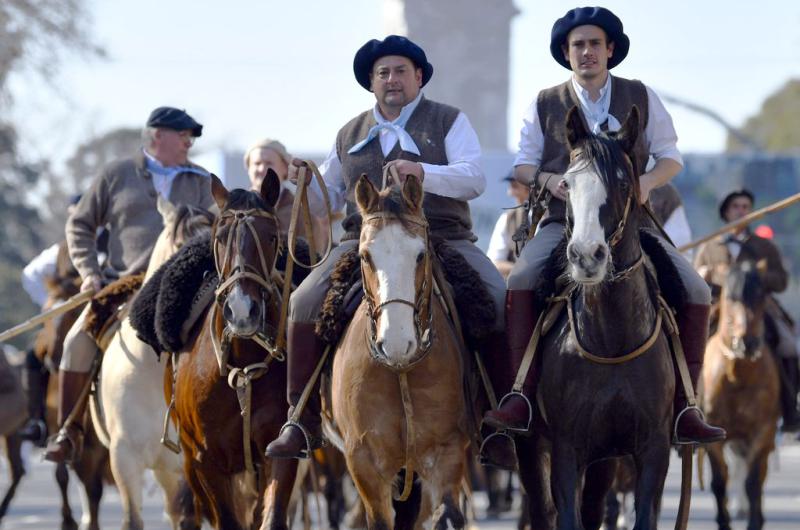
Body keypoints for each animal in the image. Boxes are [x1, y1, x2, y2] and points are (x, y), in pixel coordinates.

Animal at [330, 175, 472, 528]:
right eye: (365, 256)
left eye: (420, 254)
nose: (395, 343)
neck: (400, 372)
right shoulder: (364, 462)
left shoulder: (446, 453)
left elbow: (447, 514)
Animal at [516, 107, 680, 528]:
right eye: (567, 184)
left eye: (622, 182)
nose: (586, 256)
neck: (612, 341)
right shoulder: (566, 449)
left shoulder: (652, 450)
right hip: (532, 447)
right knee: (541, 509)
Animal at [704, 258, 780, 528]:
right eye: (731, 297)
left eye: (761, 296)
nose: (747, 343)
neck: (736, 377)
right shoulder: (713, 434)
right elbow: (719, 481)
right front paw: (723, 521)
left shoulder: (763, 431)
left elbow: (753, 481)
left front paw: (755, 521)